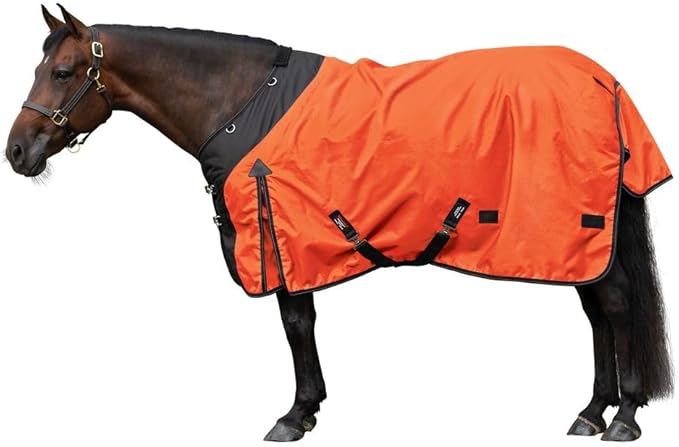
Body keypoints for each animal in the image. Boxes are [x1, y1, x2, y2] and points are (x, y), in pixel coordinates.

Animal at [5, 5, 673, 442]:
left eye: (62, 73)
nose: (16, 152)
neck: (243, 101)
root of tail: (604, 80)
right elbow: (301, 327)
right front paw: (309, 408)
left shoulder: (283, 237)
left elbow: (296, 326)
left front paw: (295, 414)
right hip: (579, 243)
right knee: (596, 313)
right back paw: (591, 411)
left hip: (580, 230)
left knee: (614, 306)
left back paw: (623, 417)